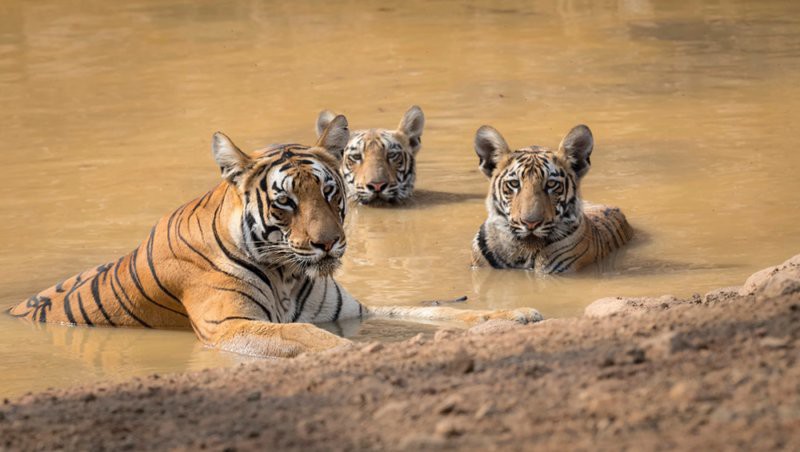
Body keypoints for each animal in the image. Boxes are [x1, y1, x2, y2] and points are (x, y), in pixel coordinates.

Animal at [10, 115, 541, 358]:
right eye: (286, 202)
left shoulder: (353, 309)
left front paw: (515, 314)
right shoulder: (231, 325)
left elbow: (431, 311)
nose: (329, 243)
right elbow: (305, 334)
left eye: (329, 191)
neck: (288, 272)